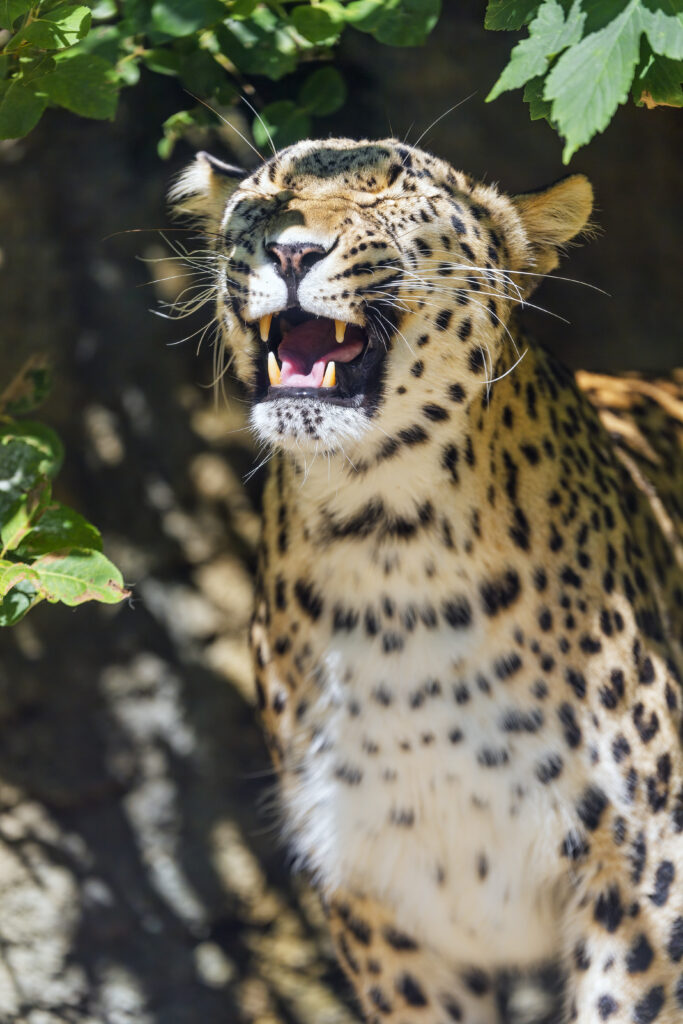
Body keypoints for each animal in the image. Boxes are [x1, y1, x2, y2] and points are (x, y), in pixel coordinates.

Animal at [171, 138, 683, 1024]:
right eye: (267, 196)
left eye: (386, 196)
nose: (290, 251)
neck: (387, 545)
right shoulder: (380, 895)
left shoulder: (641, 869)